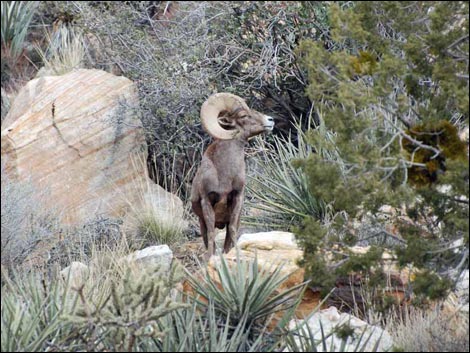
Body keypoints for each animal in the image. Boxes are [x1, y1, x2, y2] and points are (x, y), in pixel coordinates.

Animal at [189, 93, 274, 258]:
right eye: (243, 115)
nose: (270, 120)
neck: (224, 174)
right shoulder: (206, 202)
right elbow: (211, 233)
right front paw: (210, 257)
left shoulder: (237, 198)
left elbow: (233, 230)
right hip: (201, 222)